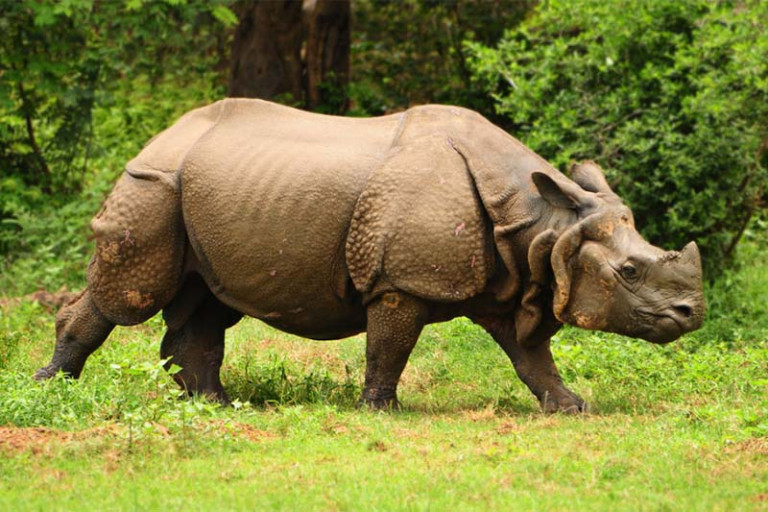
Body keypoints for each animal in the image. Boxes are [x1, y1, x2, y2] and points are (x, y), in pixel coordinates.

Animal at [39, 99, 704, 412]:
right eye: (630, 271)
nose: (692, 314)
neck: (543, 223)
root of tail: (162, 135)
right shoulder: (400, 280)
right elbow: (390, 346)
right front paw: (382, 411)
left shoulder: (512, 281)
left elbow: (531, 357)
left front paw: (573, 408)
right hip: (153, 183)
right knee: (128, 295)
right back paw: (53, 390)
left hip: (202, 191)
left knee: (207, 301)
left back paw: (216, 406)